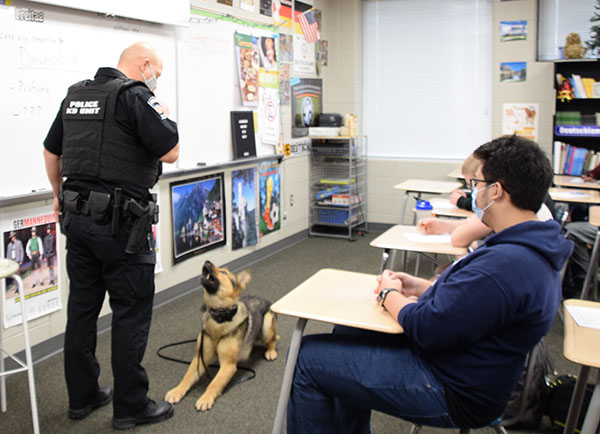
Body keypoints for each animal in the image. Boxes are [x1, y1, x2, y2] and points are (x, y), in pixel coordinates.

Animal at [163, 262, 278, 410]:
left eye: (223, 272)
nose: (206, 261)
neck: (219, 318)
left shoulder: (228, 365)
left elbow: (214, 383)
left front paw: (205, 398)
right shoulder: (200, 358)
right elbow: (187, 377)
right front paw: (177, 391)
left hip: (267, 323)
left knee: (272, 340)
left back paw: (271, 351)